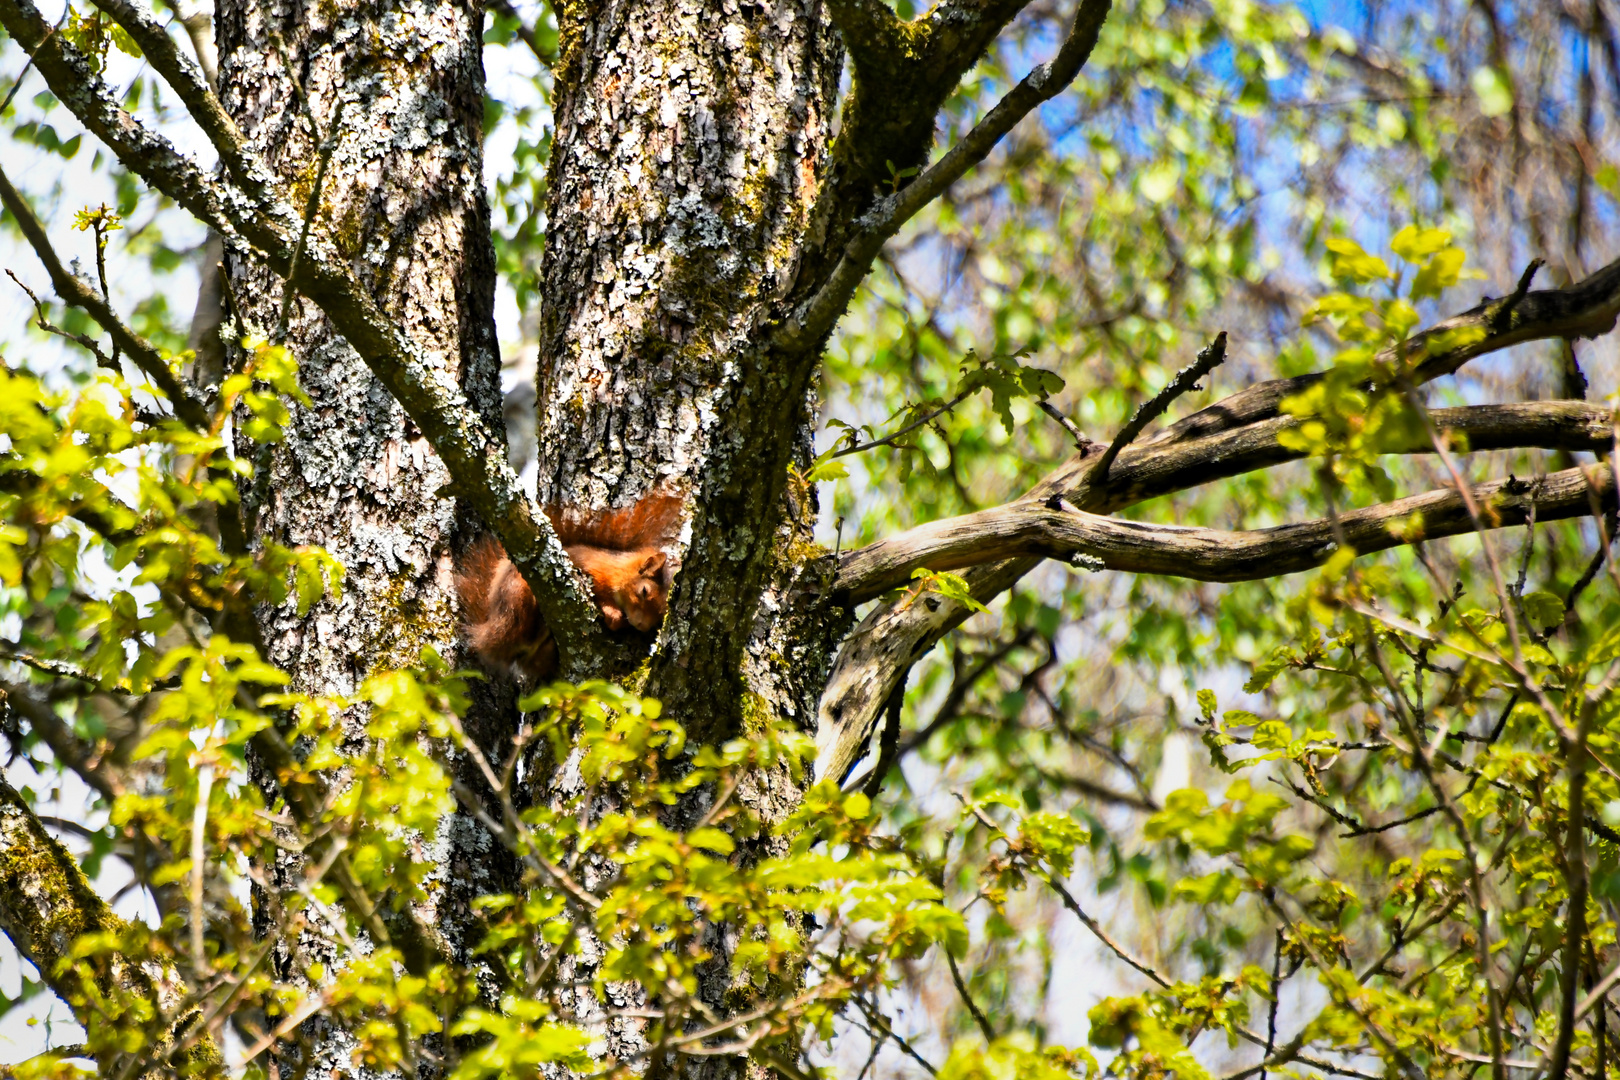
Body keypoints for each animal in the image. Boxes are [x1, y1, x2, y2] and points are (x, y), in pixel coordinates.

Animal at [456, 495, 683, 680]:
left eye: (660, 617)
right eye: (644, 591)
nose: (642, 625)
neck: (617, 572)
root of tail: (490, 633)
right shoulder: (590, 567)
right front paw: (612, 613)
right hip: (517, 596)